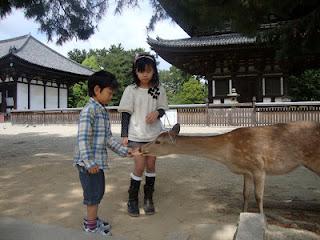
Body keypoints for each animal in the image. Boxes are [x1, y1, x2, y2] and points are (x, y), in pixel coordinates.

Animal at [140, 121, 320, 213]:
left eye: (158, 141)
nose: (141, 149)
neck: (228, 154)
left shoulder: (259, 167)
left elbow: (259, 196)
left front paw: (262, 219)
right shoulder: (246, 171)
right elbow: (245, 194)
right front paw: (243, 213)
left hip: (315, 160)